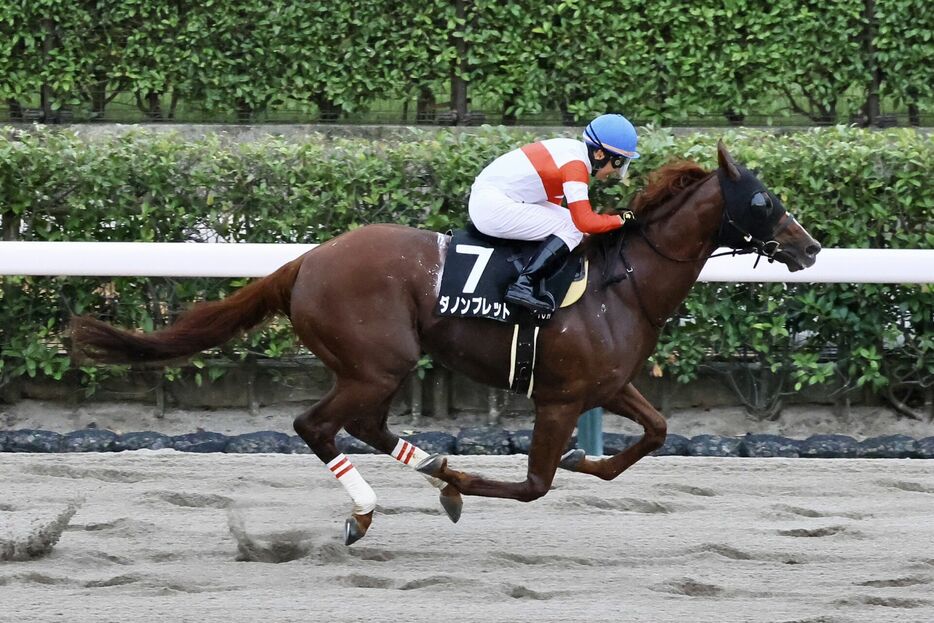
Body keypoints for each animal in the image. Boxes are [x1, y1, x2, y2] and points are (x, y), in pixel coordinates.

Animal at [71, 144, 820, 544]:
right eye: (762, 201)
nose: (811, 247)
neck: (624, 283)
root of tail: (306, 261)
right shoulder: (558, 398)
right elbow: (532, 487)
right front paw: (469, 484)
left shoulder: (606, 385)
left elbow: (656, 432)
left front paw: (582, 460)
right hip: (377, 363)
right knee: (316, 424)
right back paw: (373, 507)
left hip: (374, 368)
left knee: (365, 425)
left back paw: (429, 468)